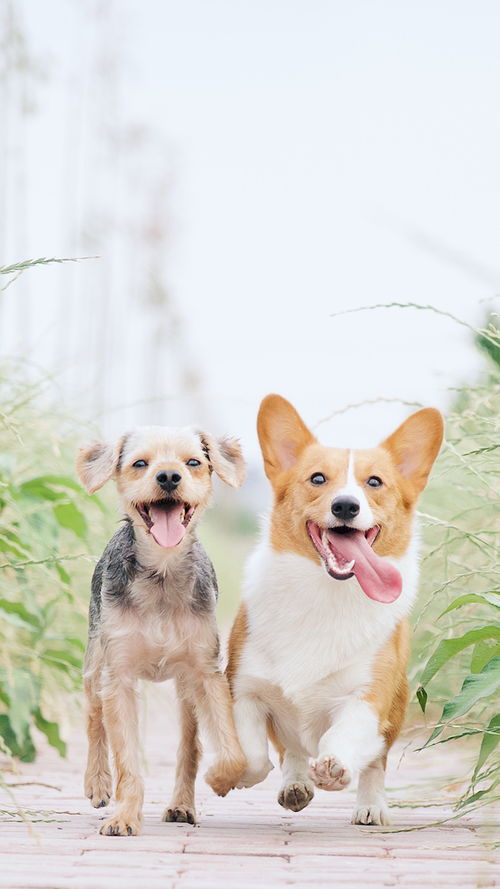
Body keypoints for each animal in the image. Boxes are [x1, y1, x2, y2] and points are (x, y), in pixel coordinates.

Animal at [77, 426, 247, 836]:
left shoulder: (206, 673)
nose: (169, 476)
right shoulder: (118, 677)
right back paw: (97, 783)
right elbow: (126, 759)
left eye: (193, 462)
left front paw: (222, 778)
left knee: (190, 746)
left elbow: (230, 750)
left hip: (185, 691)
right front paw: (123, 816)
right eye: (140, 463)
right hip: (95, 662)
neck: (162, 573)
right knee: (93, 718)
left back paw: (182, 805)